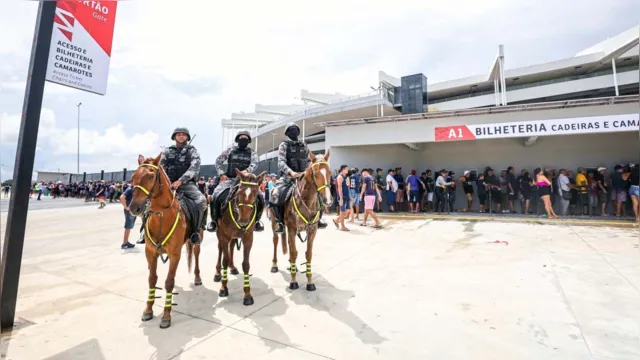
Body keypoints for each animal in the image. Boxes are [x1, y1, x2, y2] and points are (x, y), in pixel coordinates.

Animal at [128, 153, 202, 328]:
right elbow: (152, 279)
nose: (134, 208)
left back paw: (197, 277)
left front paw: (166, 316)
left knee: (196, 254)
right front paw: (148, 310)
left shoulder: (175, 254)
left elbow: (169, 282)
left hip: (198, 237)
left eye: (150, 176)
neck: (161, 216)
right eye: (133, 177)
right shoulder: (150, 253)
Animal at [214, 167, 266, 306]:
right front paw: (223, 288)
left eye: (255, 193)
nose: (243, 221)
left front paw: (247, 295)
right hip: (220, 233)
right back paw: (217, 273)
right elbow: (224, 260)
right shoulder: (224, 235)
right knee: (220, 249)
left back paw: (232, 267)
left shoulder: (248, 238)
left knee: (232, 246)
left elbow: (246, 264)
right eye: (239, 192)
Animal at [270, 150, 332, 292]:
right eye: (316, 173)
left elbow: (308, 254)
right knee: (275, 241)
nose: (328, 200)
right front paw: (293, 281)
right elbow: (293, 253)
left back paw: (292, 266)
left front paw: (310, 282)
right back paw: (274, 265)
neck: (306, 201)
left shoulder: (312, 231)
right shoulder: (292, 229)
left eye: (330, 173)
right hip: (275, 223)